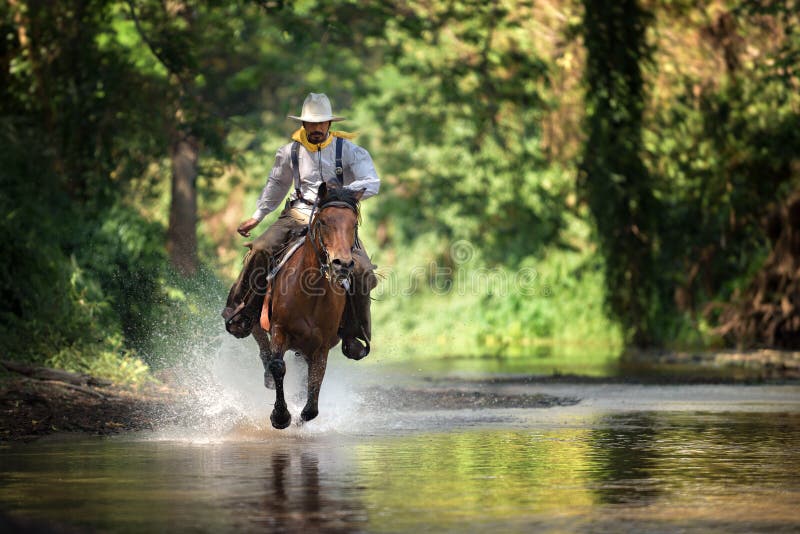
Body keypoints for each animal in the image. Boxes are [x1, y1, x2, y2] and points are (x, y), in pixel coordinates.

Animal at [252, 184, 364, 432]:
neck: (310, 292)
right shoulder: (279, 330)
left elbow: (312, 395)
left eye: (354, 224)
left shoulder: (321, 346)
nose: (342, 264)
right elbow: (278, 366)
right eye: (323, 222)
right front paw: (280, 416)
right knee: (262, 346)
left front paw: (299, 418)